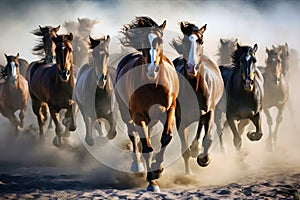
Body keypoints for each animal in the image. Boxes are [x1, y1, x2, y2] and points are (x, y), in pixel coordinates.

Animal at [114, 16, 179, 191]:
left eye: (160, 41)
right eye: (143, 40)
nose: (151, 69)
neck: (153, 85)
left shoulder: (169, 110)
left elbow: (166, 138)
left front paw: (158, 168)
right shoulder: (139, 116)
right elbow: (147, 148)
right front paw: (152, 180)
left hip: (153, 119)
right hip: (126, 114)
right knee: (133, 136)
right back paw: (137, 165)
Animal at [170, 21, 224, 174]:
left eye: (201, 40)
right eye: (184, 41)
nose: (191, 68)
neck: (194, 88)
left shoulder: (210, 111)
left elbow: (208, 139)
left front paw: (204, 159)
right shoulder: (180, 119)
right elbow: (185, 150)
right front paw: (188, 174)